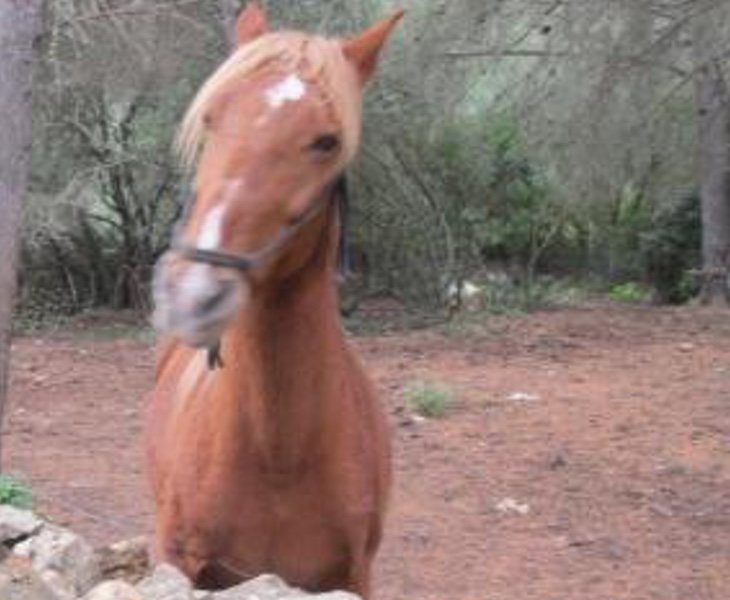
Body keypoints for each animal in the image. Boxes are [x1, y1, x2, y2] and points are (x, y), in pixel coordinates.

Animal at [145, 3, 400, 596]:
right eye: (211, 118)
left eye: (327, 141)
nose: (193, 294)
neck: (280, 455)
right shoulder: (181, 564)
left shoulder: (355, 577)